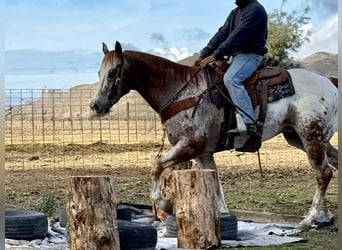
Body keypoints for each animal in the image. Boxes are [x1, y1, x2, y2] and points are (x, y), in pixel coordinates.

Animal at [89, 41, 338, 230]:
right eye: (99, 73)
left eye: (113, 72)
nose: (95, 106)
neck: (181, 91)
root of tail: (330, 82)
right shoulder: (203, 153)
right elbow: (217, 188)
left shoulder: (190, 145)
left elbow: (156, 166)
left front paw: (166, 205)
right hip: (300, 137)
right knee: (331, 165)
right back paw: (323, 217)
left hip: (311, 136)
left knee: (323, 173)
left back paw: (307, 220)